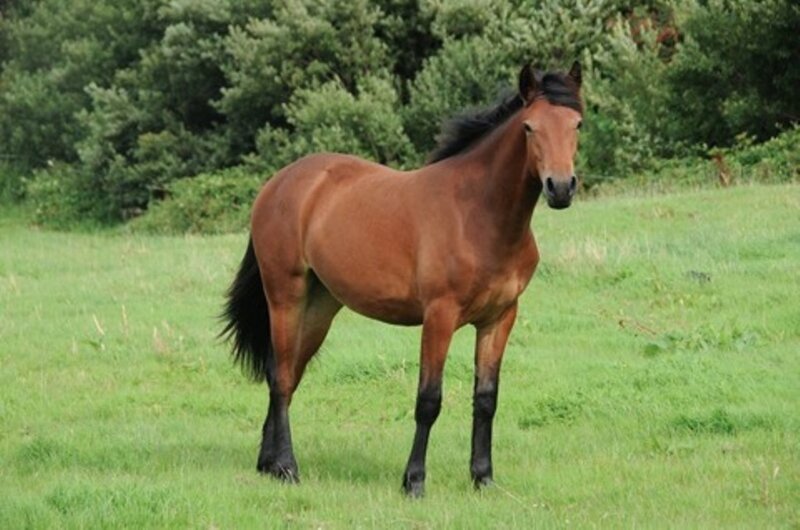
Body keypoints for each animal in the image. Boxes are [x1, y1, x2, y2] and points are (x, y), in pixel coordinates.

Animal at [222, 62, 584, 497]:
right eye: (530, 127)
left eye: (577, 124)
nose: (560, 187)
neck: (478, 214)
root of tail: (277, 184)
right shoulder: (439, 317)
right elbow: (429, 400)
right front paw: (414, 481)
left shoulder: (499, 319)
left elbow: (486, 399)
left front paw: (483, 478)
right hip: (285, 296)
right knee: (281, 377)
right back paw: (288, 467)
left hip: (320, 306)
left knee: (288, 375)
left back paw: (269, 464)